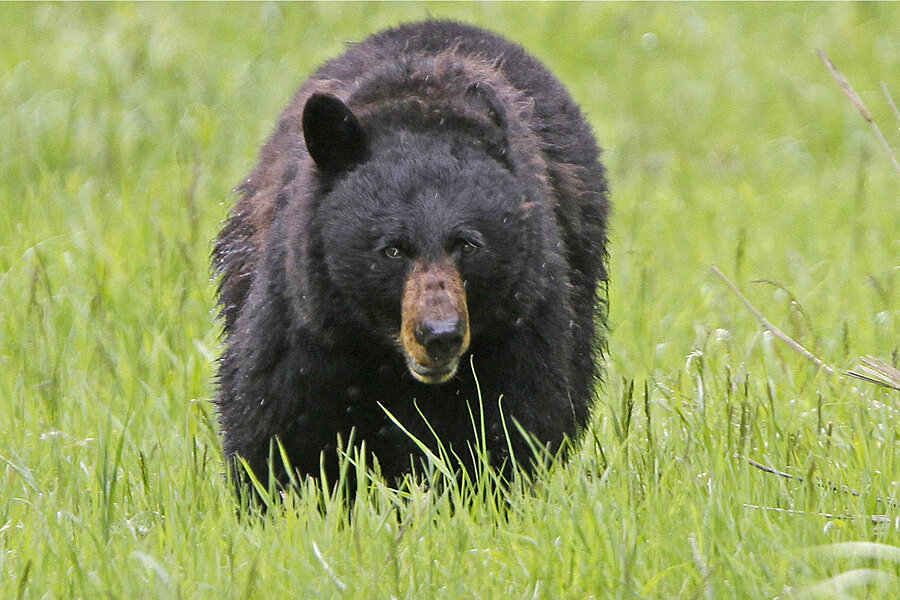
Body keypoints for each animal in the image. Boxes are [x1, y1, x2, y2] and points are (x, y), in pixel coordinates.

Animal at [214, 19, 608, 492]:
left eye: (468, 245)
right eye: (392, 249)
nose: (439, 335)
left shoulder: (521, 318)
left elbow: (512, 427)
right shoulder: (309, 316)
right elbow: (278, 426)